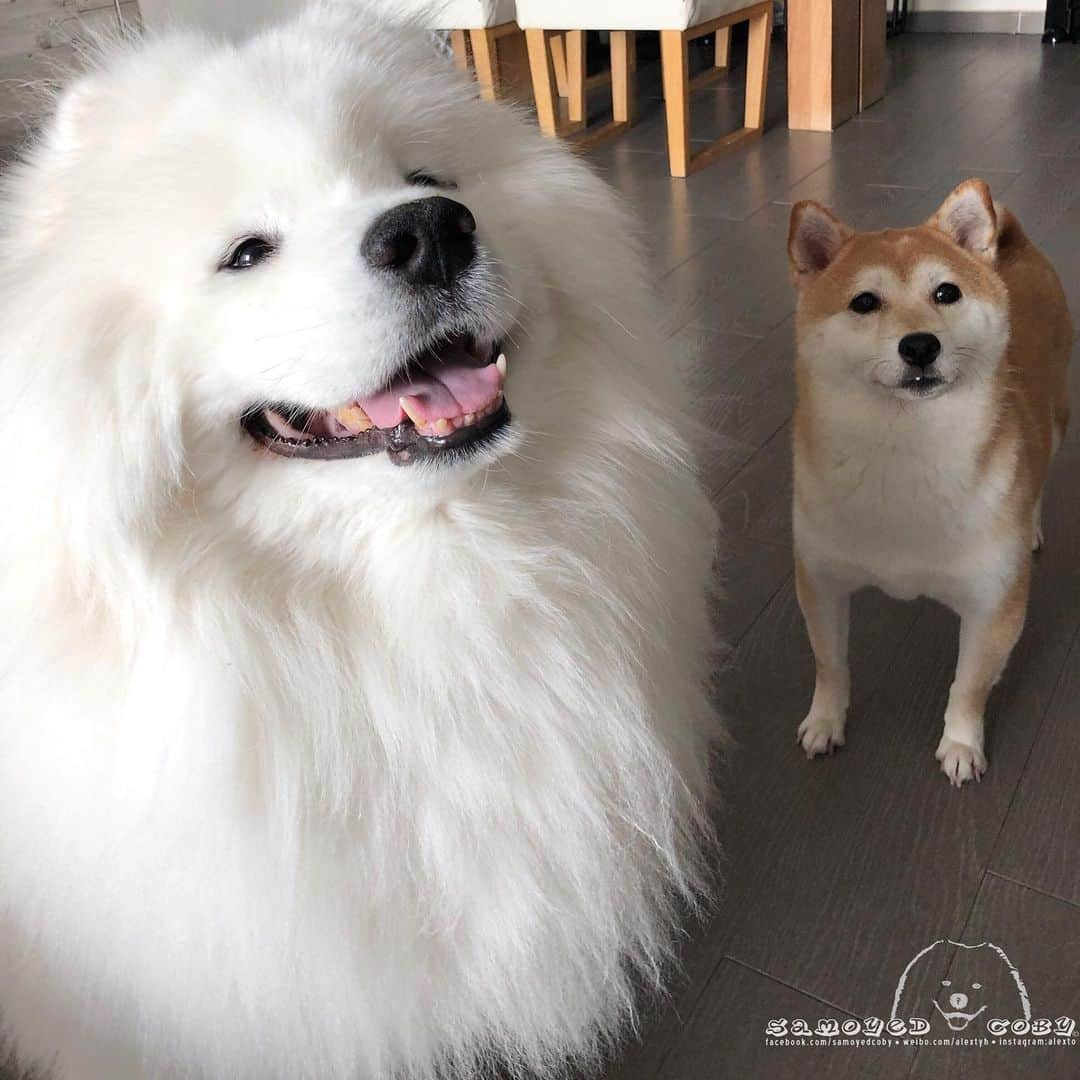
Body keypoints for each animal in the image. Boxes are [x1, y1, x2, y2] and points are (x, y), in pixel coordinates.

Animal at [786, 177, 1071, 786]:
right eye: (864, 302)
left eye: (946, 292)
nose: (920, 345)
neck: (906, 452)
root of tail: (1015, 247)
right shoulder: (821, 580)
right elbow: (830, 663)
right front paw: (825, 721)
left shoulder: (994, 605)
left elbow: (969, 686)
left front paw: (961, 745)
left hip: (1057, 421)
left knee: (1041, 473)